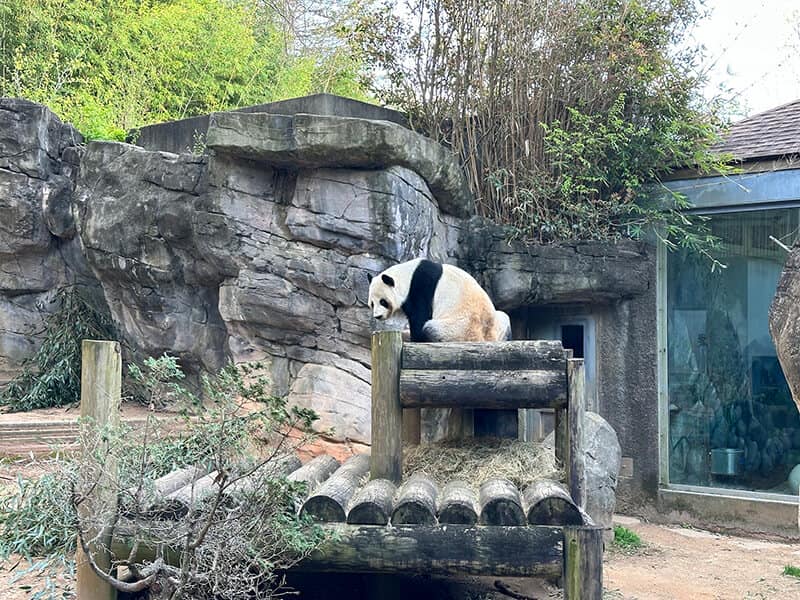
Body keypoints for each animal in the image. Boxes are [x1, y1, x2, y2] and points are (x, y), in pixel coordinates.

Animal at [367, 258, 511, 343]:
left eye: (383, 301)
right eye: (372, 304)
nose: (377, 316)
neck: (407, 276)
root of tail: (485, 337)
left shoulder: (420, 288)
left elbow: (419, 316)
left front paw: (415, 338)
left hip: (460, 328)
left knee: (431, 328)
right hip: (496, 324)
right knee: (505, 317)